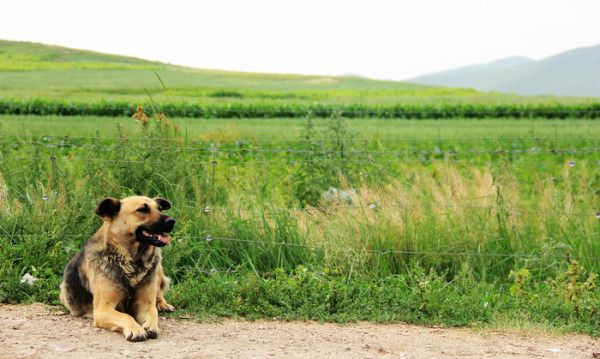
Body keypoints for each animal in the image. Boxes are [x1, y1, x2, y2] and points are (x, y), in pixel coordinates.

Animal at [59, 195, 176, 342]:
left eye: (159, 209)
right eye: (142, 209)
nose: (172, 221)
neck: (132, 262)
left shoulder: (145, 305)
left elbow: (152, 313)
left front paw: (151, 325)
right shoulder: (103, 309)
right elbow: (126, 316)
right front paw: (136, 329)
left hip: (157, 268)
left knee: (158, 292)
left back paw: (163, 304)